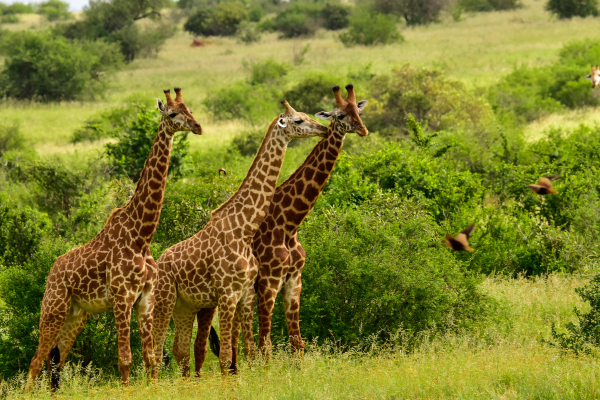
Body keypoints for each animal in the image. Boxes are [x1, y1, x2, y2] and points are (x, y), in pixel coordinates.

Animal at [26, 88, 202, 390]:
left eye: (189, 109)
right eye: (172, 113)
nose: (198, 126)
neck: (141, 236)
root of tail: (52, 271)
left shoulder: (145, 299)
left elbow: (150, 357)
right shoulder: (122, 298)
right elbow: (125, 358)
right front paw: (127, 390)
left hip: (76, 314)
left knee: (56, 359)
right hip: (53, 308)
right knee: (36, 361)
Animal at [150, 100, 328, 378]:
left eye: (307, 115)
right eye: (298, 120)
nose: (323, 129)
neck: (244, 229)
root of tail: (159, 261)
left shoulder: (245, 294)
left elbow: (249, 350)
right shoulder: (228, 293)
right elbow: (226, 356)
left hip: (186, 306)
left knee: (180, 350)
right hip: (165, 300)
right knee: (158, 352)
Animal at [196, 83, 370, 372]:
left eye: (358, 110)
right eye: (340, 115)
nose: (363, 129)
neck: (290, 223)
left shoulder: (294, 280)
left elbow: (297, 341)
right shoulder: (268, 282)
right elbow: (266, 342)